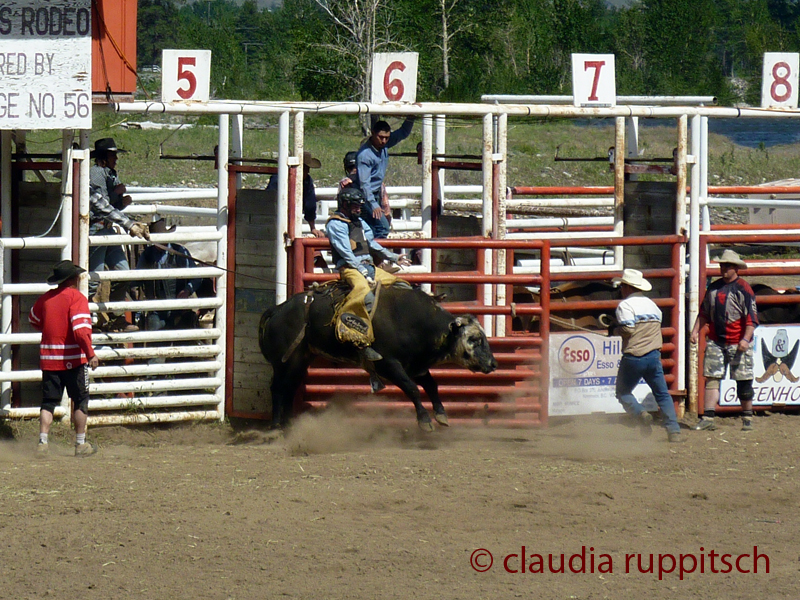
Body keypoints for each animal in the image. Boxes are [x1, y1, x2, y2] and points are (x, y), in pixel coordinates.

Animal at [260, 282, 496, 432]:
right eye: (474, 339)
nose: (493, 364)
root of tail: (278, 309)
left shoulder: (415, 365)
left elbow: (431, 386)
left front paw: (441, 415)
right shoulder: (387, 364)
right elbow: (412, 388)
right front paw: (424, 421)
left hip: (300, 360)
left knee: (289, 388)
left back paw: (288, 425)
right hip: (284, 362)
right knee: (278, 388)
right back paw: (275, 426)